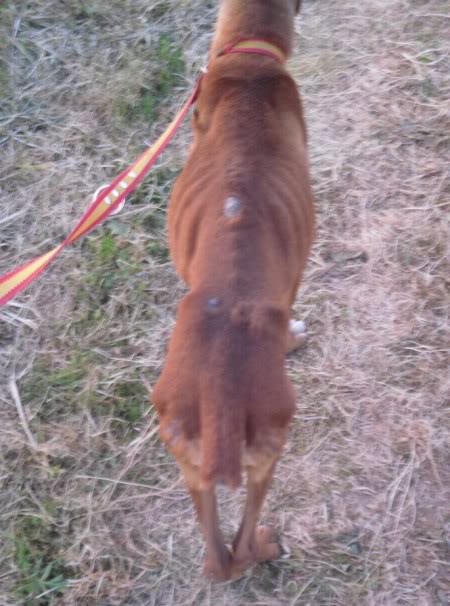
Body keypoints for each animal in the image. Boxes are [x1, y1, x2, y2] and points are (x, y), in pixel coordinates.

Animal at [151, 0, 312, 584]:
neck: (248, 60)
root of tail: (220, 395)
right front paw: (294, 336)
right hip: (269, 452)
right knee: (239, 545)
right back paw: (265, 545)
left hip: (189, 463)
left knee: (216, 559)